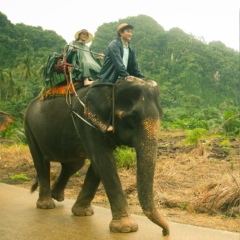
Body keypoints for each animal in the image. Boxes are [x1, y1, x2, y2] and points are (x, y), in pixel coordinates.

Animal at [23, 76, 170, 235]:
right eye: (131, 118)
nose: (165, 232)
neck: (111, 87)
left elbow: (98, 164)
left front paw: (83, 213)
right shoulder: (86, 120)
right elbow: (103, 160)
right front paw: (126, 228)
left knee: (74, 164)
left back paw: (57, 195)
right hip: (29, 127)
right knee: (41, 161)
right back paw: (46, 205)